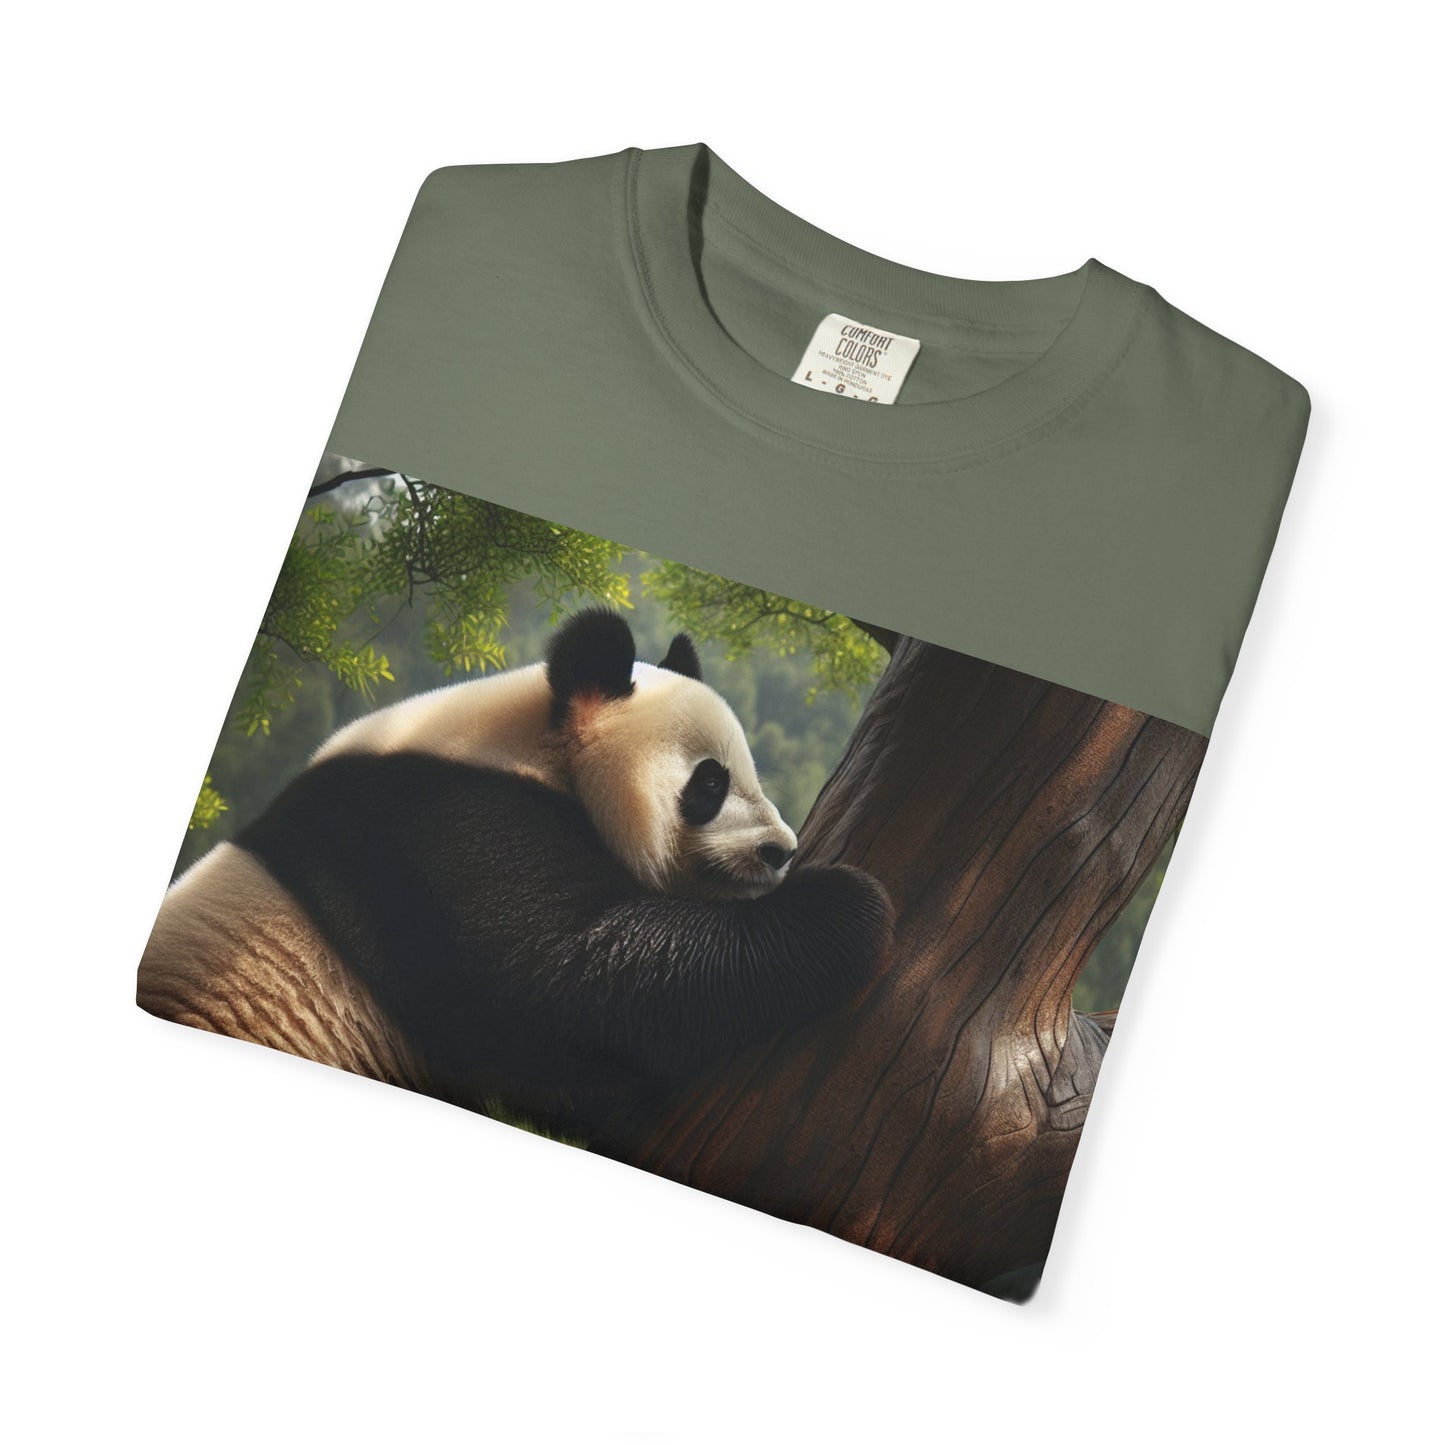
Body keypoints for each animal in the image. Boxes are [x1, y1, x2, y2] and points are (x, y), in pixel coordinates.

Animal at [137, 608, 893, 1143]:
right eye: (709, 783)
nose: (779, 850)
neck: (531, 742)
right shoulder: (440, 830)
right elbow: (570, 982)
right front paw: (851, 904)